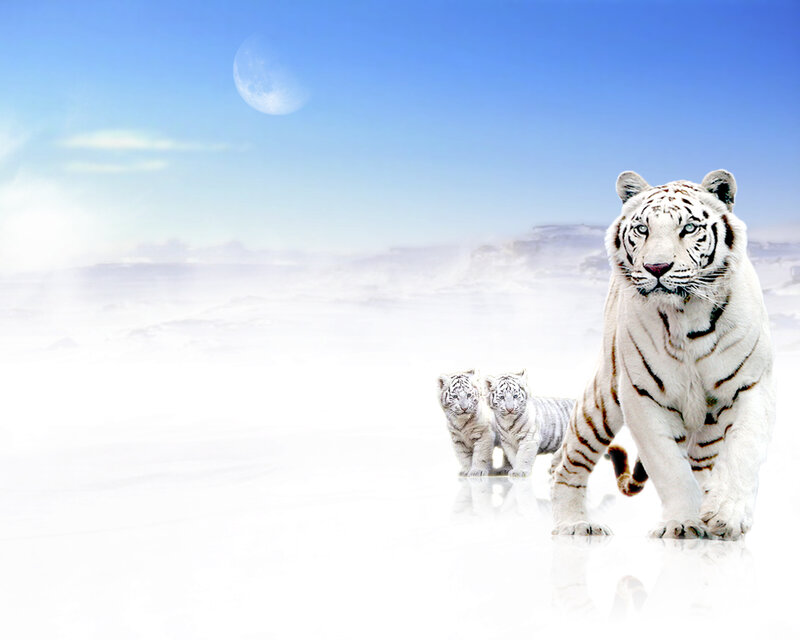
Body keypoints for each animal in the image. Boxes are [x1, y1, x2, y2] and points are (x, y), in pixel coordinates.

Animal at [551, 169, 775, 539]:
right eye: (643, 229)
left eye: (689, 228)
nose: (657, 267)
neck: (688, 316)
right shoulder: (642, 395)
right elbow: (669, 466)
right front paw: (682, 523)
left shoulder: (750, 386)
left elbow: (742, 452)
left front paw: (725, 516)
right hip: (602, 399)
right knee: (566, 460)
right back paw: (574, 523)